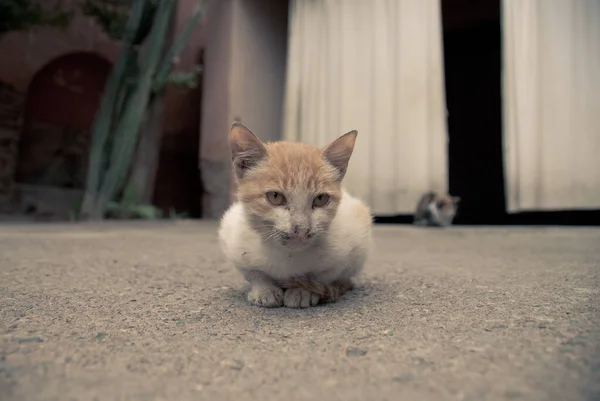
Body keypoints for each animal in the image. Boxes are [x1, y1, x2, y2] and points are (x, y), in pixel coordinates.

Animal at [218, 121, 372, 306]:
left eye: (321, 199)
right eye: (275, 196)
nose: (302, 229)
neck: (287, 256)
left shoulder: (347, 251)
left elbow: (322, 275)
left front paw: (301, 291)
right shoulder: (232, 238)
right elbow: (254, 273)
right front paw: (264, 290)